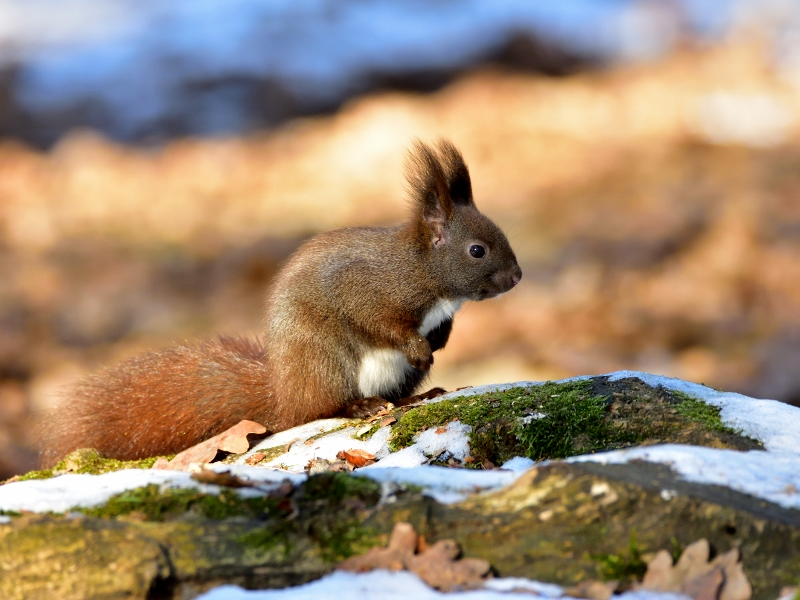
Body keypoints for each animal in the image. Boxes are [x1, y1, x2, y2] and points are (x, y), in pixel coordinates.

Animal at [40, 141, 520, 464]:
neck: (427, 275)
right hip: (324, 359)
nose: (517, 277)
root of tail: (284, 395)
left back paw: (418, 395)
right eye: (477, 250)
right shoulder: (369, 288)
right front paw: (420, 346)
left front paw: (439, 341)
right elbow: (381, 322)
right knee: (319, 409)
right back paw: (360, 406)